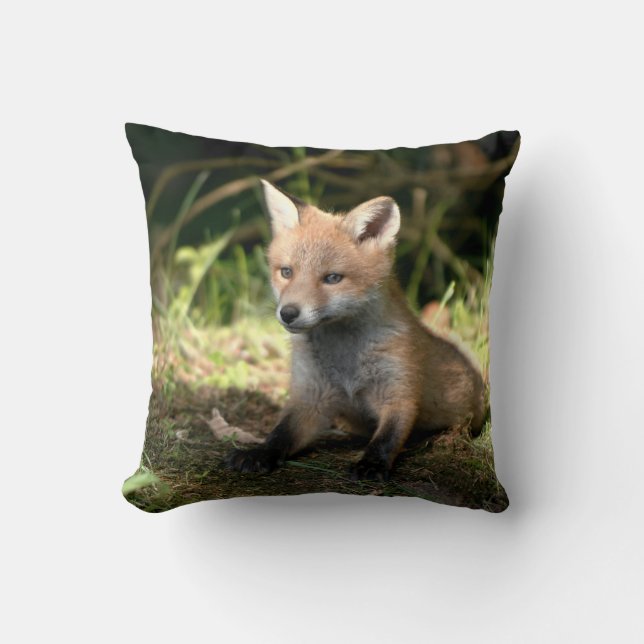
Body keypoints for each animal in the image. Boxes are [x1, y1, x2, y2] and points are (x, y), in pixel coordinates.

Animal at [226, 179, 486, 482]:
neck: (345, 359)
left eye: (332, 278)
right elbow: (281, 433)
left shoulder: (399, 391)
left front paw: (372, 464)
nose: (288, 313)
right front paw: (259, 452)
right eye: (286, 272)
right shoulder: (310, 396)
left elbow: (387, 437)